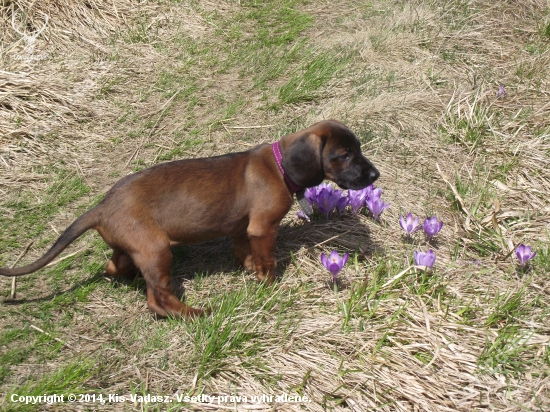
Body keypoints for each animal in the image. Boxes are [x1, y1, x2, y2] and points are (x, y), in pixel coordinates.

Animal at [0, 119, 380, 318]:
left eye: (358, 149)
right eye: (344, 155)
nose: (375, 175)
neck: (279, 164)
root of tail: (101, 207)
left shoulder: (242, 230)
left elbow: (245, 253)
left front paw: (249, 271)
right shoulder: (262, 229)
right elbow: (268, 262)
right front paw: (268, 285)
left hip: (135, 246)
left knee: (116, 266)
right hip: (157, 249)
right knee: (158, 298)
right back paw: (194, 314)